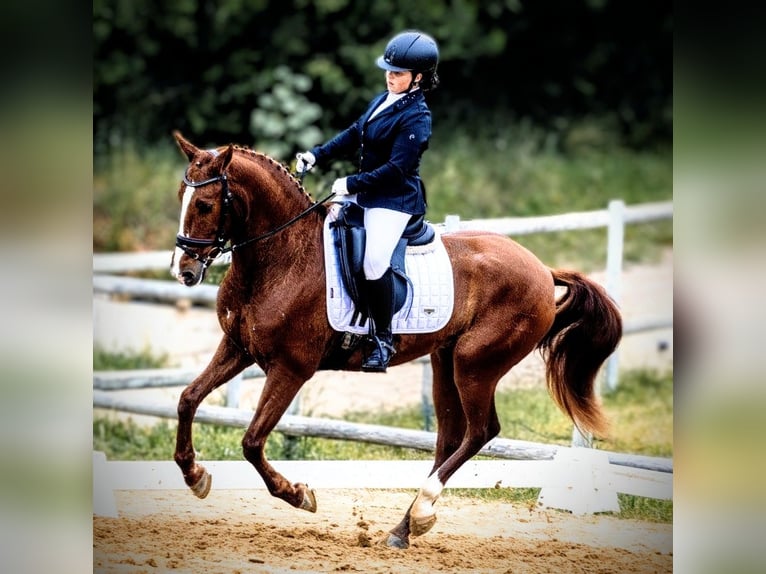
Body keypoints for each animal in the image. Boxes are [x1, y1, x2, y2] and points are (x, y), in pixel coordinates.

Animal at [169, 131, 622, 549]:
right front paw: (194, 475)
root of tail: (543, 270)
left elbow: (251, 441)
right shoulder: (237, 348)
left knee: (480, 431)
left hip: (476, 364)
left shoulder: (291, 369)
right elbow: (188, 399)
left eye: (205, 204)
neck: (281, 258)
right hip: (445, 361)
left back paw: (421, 511)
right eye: (180, 197)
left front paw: (298, 495)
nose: (184, 271)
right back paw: (403, 529)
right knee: (449, 438)